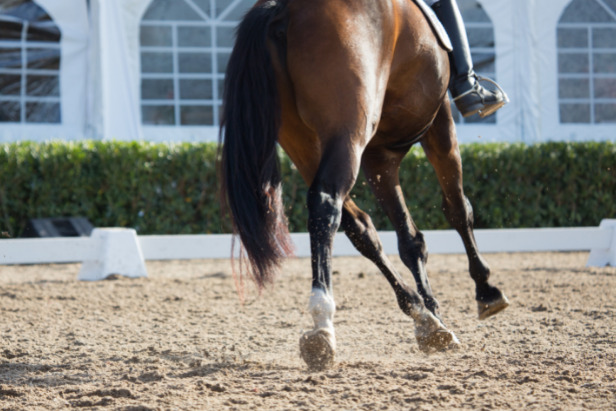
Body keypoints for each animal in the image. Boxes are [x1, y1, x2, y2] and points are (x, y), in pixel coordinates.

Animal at [219, 0, 508, 374]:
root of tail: (284, 9)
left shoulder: (379, 158)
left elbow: (409, 239)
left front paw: (433, 313)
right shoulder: (439, 121)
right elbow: (458, 209)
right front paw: (485, 290)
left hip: (302, 142)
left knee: (357, 225)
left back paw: (423, 318)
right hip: (349, 132)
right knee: (326, 202)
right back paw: (322, 325)